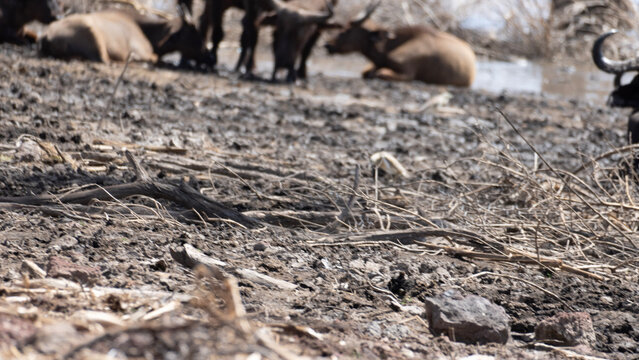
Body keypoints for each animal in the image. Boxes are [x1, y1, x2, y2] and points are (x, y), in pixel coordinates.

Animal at [324, 2, 476, 87]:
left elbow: (378, 73)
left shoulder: (407, 73)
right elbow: (366, 72)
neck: (390, 47)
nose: (328, 44)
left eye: (347, 30)